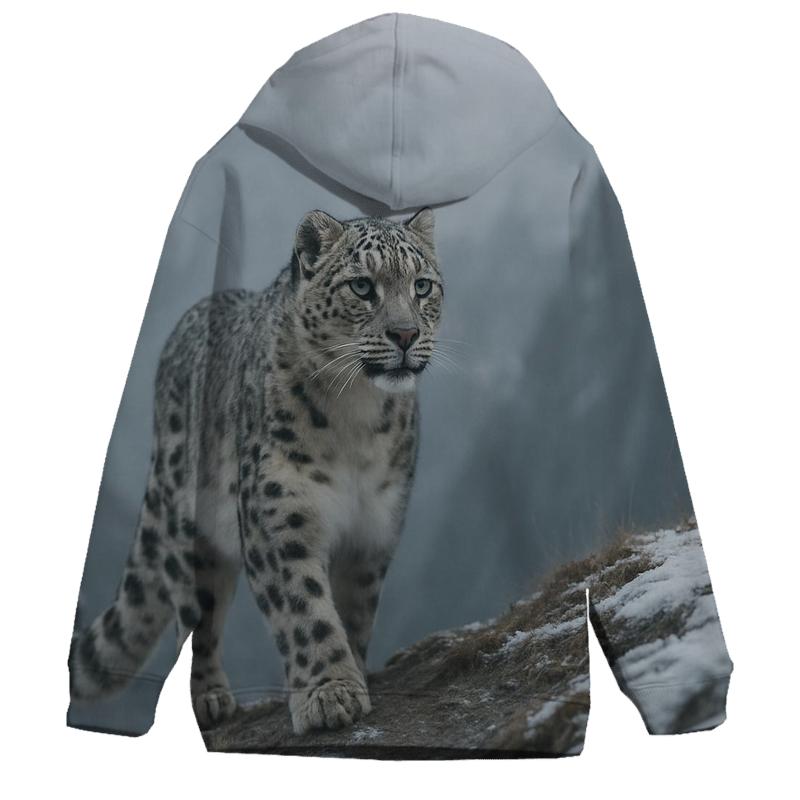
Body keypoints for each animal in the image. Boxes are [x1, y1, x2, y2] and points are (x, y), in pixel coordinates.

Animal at [69, 207, 443, 734]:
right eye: (362, 286)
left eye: (423, 285)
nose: (406, 334)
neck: (357, 417)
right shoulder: (279, 516)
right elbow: (306, 609)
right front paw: (330, 694)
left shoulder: (374, 530)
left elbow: (353, 613)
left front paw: (352, 675)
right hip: (191, 538)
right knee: (199, 624)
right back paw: (210, 699)